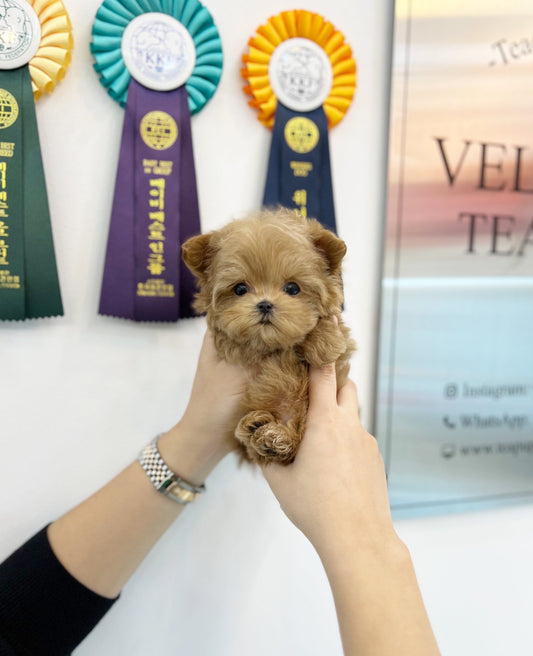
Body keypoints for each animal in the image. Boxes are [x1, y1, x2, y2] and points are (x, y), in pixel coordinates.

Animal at [181, 208, 356, 464]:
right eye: (240, 289)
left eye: (292, 288)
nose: (264, 304)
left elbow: (332, 330)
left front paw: (324, 342)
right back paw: (258, 428)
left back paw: (272, 436)